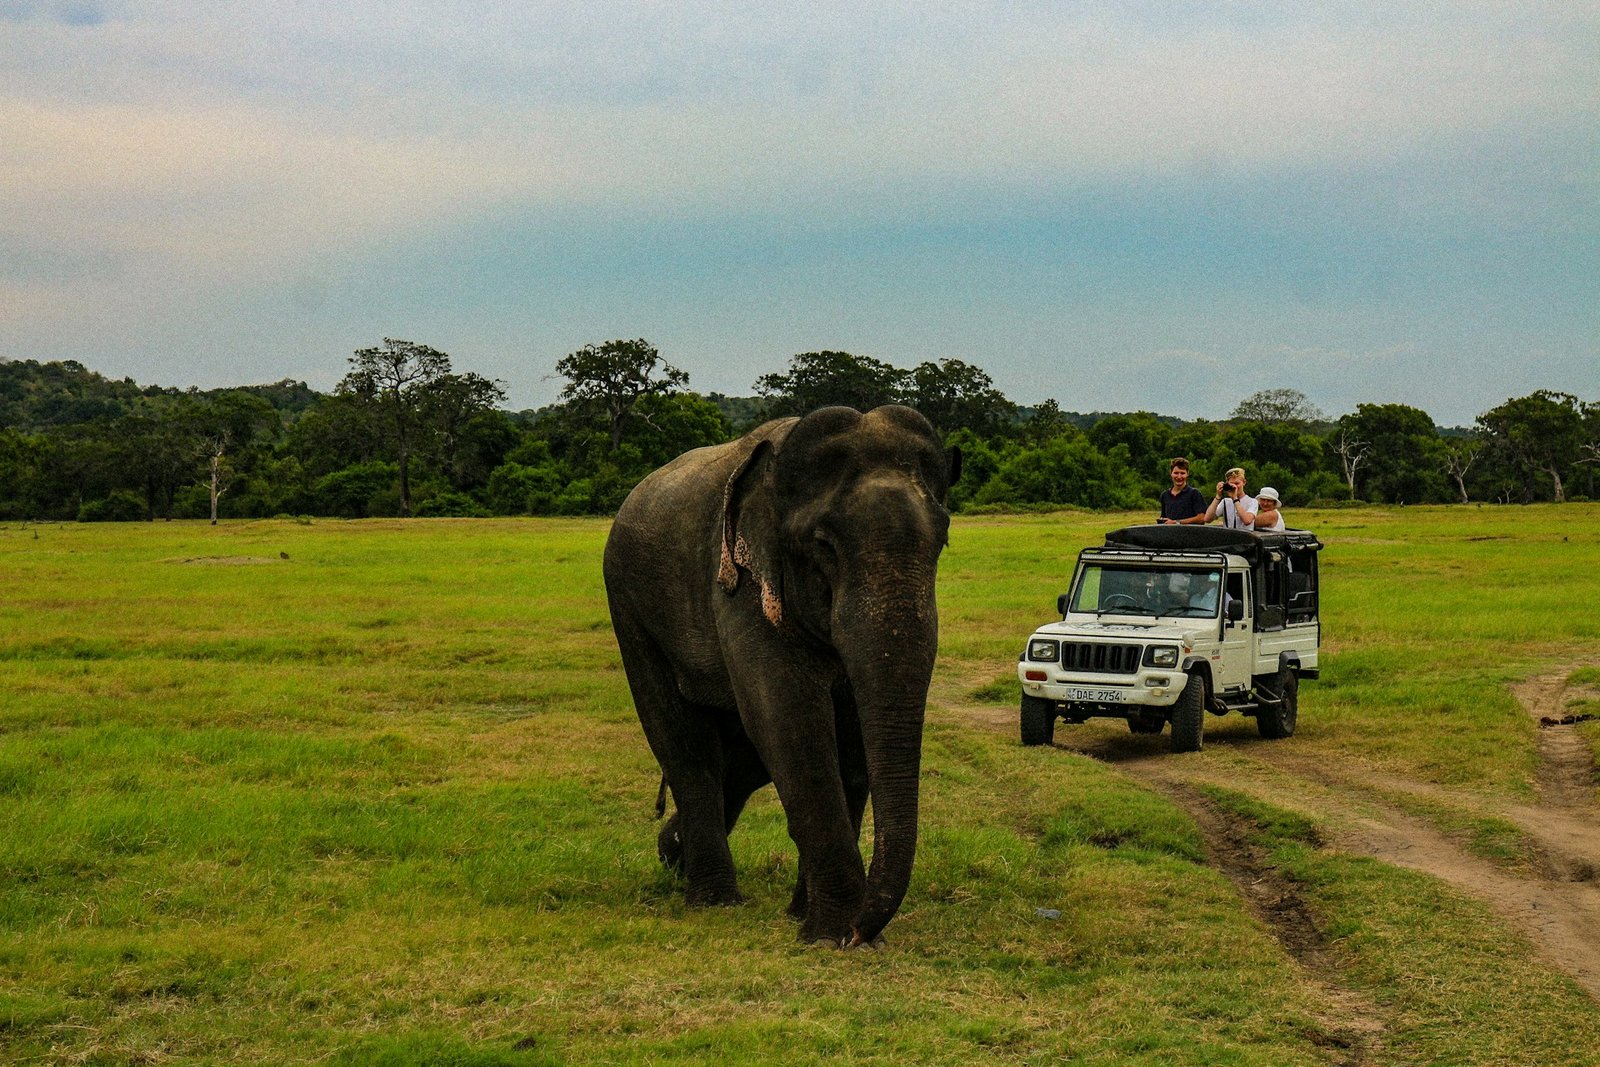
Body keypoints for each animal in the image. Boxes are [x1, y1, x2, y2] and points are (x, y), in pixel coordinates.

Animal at [603, 405, 960, 946]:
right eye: (824, 546)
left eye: (942, 542)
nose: (863, 931)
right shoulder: (741, 582)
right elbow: (787, 716)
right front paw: (831, 935)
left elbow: (848, 734)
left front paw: (814, 921)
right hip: (629, 606)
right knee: (684, 744)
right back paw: (713, 899)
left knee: (739, 757)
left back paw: (673, 855)